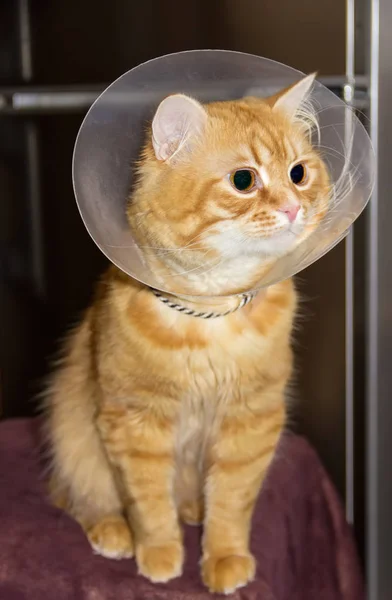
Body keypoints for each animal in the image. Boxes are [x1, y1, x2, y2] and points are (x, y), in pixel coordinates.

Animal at [44, 75, 330, 596]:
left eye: (299, 173)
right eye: (244, 180)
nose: (293, 208)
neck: (209, 317)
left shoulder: (251, 419)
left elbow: (232, 504)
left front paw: (224, 557)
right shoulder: (135, 421)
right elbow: (149, 503)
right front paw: (159, 554)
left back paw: (193, 510)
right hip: (72, 429)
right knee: (78, 495)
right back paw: (114, 533)